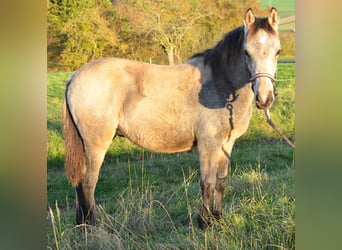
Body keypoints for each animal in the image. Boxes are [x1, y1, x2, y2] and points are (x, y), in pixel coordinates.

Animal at [61, 7, 280, 229]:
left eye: (277, 51)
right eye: (246, 52)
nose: (264, 98)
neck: (219, 84)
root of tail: (74, 76)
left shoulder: (226, 143)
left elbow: (221, 181)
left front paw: (217, 218)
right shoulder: (208, 144)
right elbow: (207, 182)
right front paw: (204, 222)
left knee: (80, 183)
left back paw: (81, 224)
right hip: (95, 145)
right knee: (88, 183)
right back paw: (92, 226)